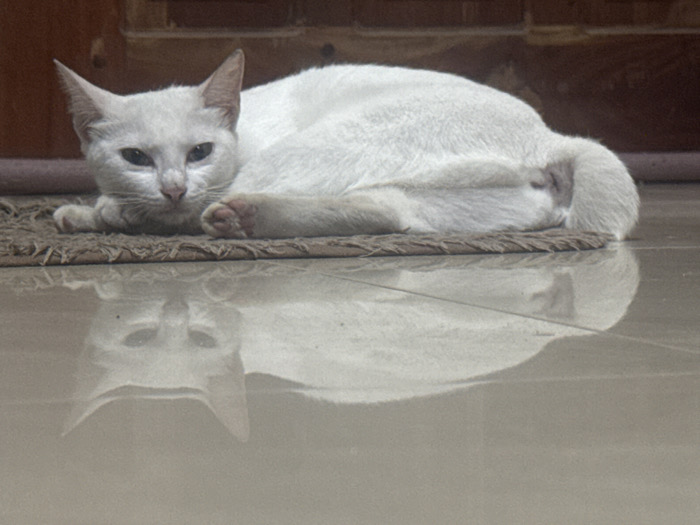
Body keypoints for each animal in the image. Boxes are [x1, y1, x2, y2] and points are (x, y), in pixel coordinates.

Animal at [53, 50, 639, 239]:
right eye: (135, 157)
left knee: (201, 216)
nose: (173, 187)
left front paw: (97, 211)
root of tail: (552, 136)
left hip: (319, 146)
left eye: (200, 152)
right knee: (389, 213)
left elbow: (136, 209)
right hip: (442, 201)